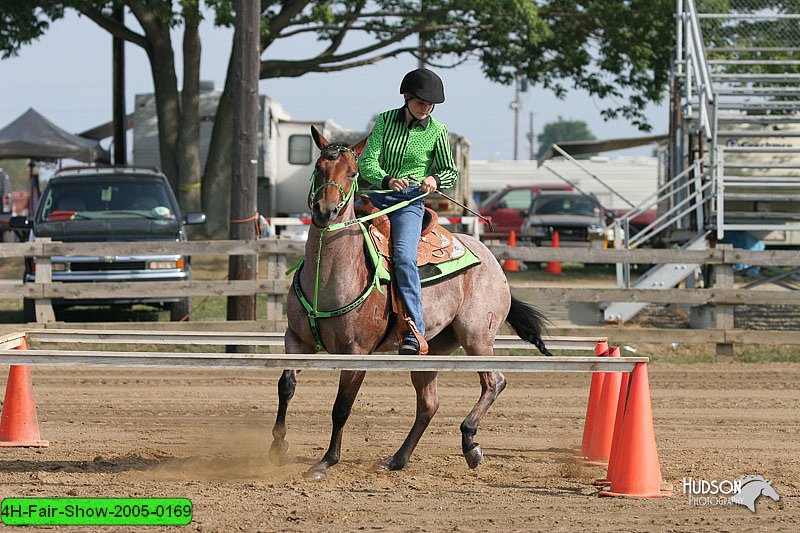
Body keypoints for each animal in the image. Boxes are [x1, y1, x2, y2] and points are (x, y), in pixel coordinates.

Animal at [268, 127, 552, 480]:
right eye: (318, 167)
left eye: (352, 173)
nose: (324, 211)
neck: (331, 275)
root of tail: (491, 260)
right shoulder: (296, 339)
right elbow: (286, 385)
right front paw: (278, 446)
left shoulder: (357, 352)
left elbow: (342, 406)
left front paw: (326, 461)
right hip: (430, 350)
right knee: (429, 404)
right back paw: (398, 459)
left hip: (477, 337)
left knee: (494, 382)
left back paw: (470, 442)